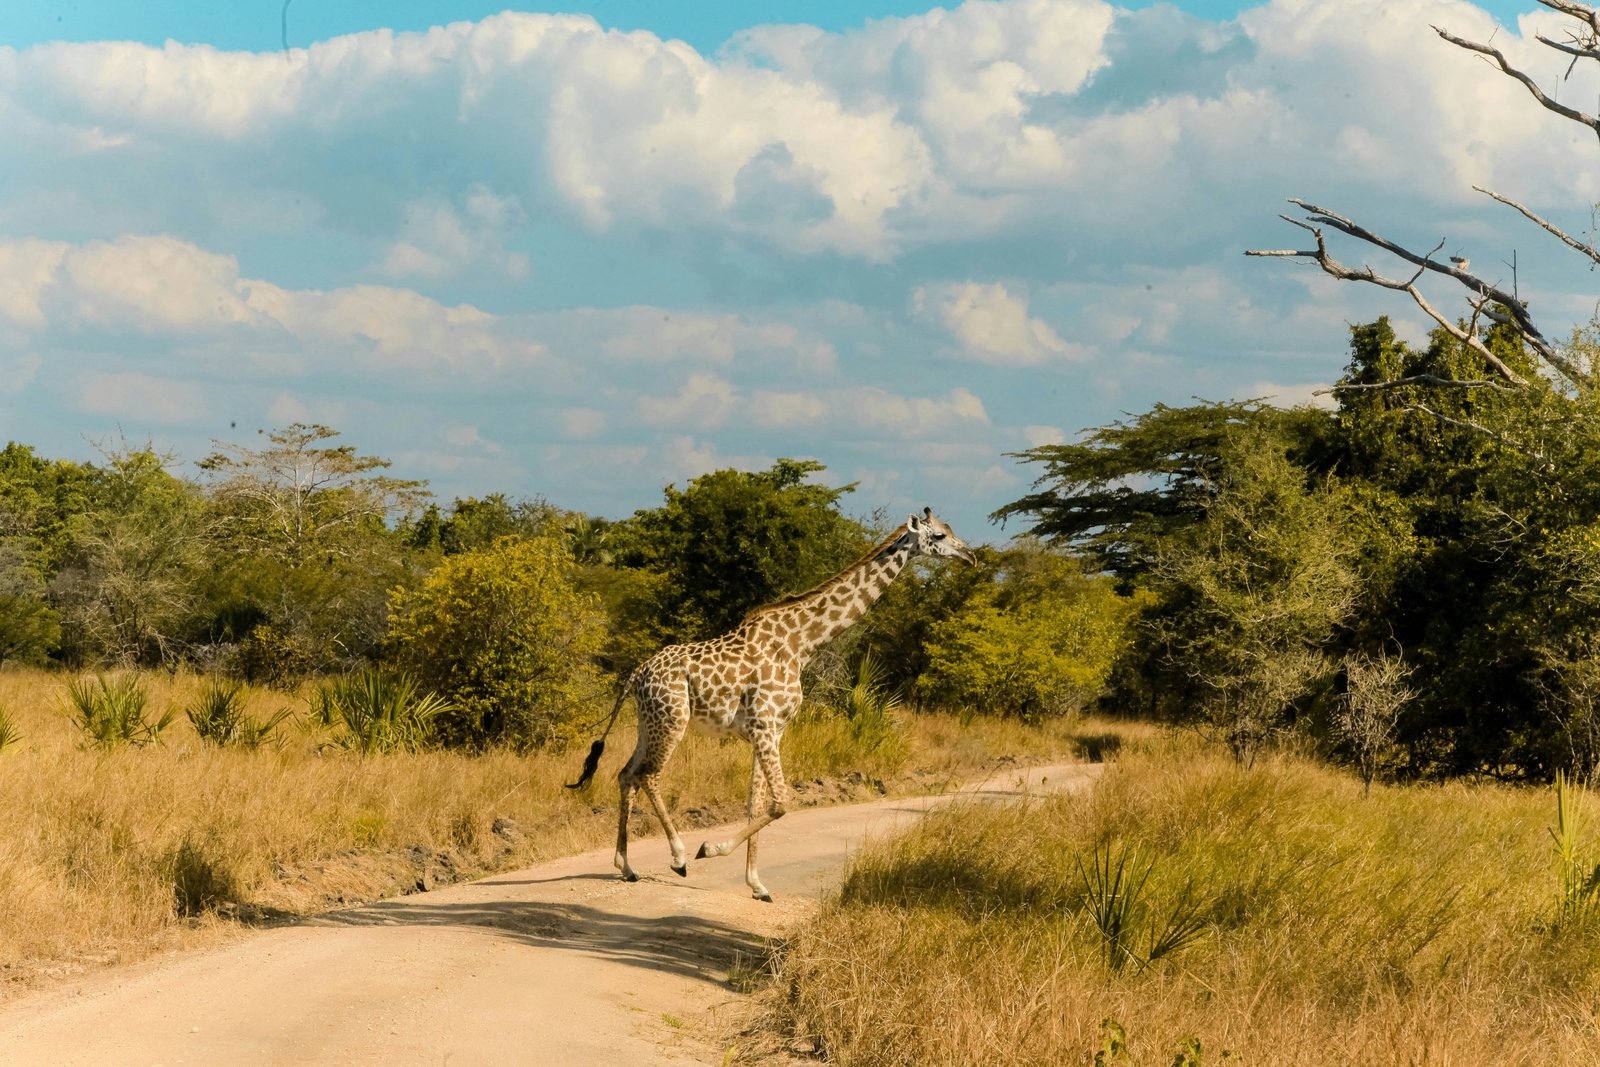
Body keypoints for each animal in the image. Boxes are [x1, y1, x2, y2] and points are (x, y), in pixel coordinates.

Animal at [566, 507, 975, 901]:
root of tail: (637, 674)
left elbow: (756, 803)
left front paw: (756, 884)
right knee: (649, 775)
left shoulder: (772, 730)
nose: (970, 556)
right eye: (940, 535)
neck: (802, 644)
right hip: (673, 720)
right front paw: (709, 849)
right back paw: (679, 857)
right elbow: (780, 803)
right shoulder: (764, 725)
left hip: (648, 722)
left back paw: (626, 866)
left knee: (627, 774)